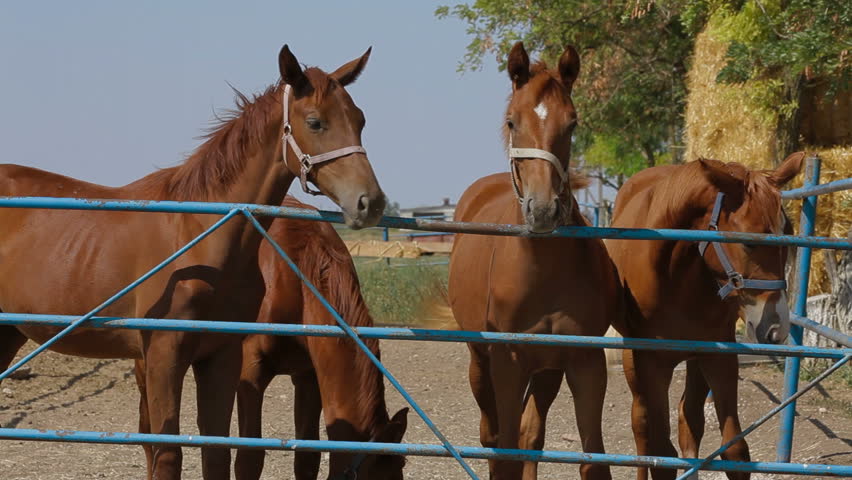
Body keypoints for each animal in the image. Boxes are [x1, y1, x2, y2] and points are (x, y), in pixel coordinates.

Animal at [0, 45, 384, 480]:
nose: (370, 202)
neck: (201, 236)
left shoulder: (221, 357)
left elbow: (215, 452)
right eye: (315, 122)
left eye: (360, 120)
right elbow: (168, 453)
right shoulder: (166, 356)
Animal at [448, 42, 623, 480]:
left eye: (572, 124)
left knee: (530, 435)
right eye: (512, 122)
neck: (544, 275)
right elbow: (505, 450)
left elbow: (591, 458)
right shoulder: (508, 362)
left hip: (547, 370)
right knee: (492, 436)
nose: (542, 210)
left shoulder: (583, 361)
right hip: (482, 362)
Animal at [605, 153, 804, 480]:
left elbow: (735, 451)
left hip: (696, 359)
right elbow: (662, 453)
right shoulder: (651, 363)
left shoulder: (718, 355)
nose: (776, 327)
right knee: (641, 427)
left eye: (787, 234)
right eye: (748, 241)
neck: (676, 276)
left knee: (689, 421)